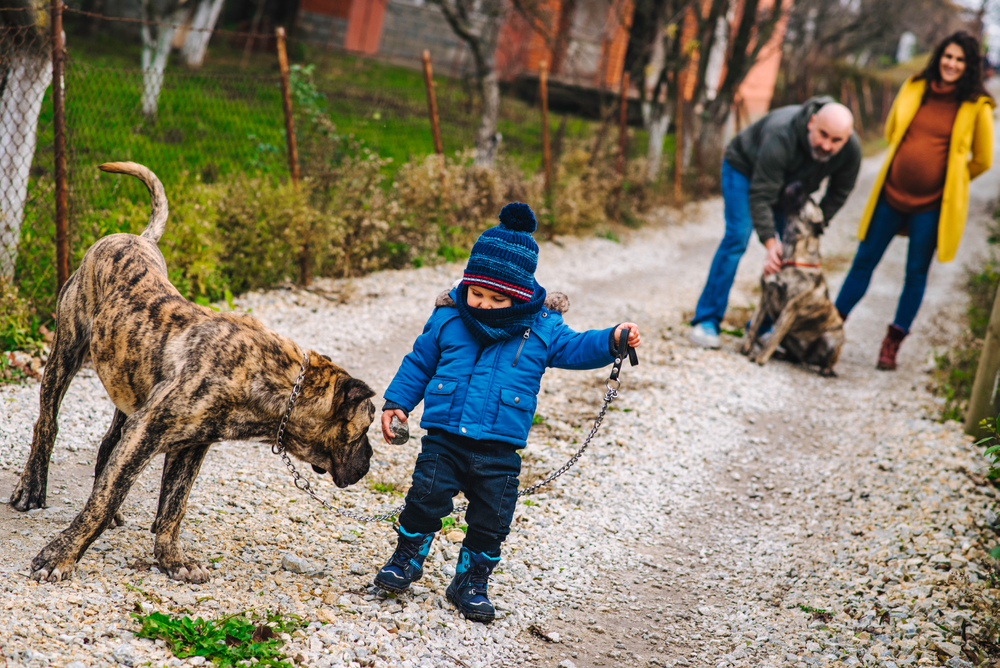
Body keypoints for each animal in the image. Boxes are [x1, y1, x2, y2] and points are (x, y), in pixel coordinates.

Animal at [8, 163, 376, 584]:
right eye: (364, 429)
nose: (369, 460)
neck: (270, 380)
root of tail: (135, 237)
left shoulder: (189, 447)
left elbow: (173, 506)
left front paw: (171, 559)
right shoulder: (147, 434)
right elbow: (103, 502)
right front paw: (60, 556)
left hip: (127, 383)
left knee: (108, 442)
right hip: (67, 352)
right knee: (46, 423)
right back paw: (30, 489)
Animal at [744, 196, 844, 378]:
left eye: (809, 201)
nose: (798, 188)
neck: (791, 254)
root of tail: (806, 358)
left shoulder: (790, 309)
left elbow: (773, 336)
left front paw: (760, 358)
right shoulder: (765, 296)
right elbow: (754, 326)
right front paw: (745, 349)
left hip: (830, 340)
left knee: (828, 361)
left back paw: (826, 370)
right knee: (794, 356)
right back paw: (782, 355)